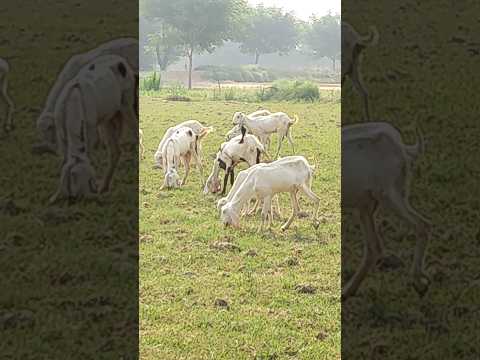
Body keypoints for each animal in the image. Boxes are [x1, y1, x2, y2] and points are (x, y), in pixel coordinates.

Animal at [49, 55, 137, 204]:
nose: (74, 200)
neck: (74, 102)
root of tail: (119, 59)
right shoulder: (61, 134)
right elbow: (65, 161)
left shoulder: (90, 132)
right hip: (107, 119)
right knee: (115, 151)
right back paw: (104, 186)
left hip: (126, 104)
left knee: (135, 130)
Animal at [344, 121, 430, 300]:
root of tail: (401, 146)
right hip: (367, 206)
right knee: (374, 248)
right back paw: (347, 291)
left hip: (389, 196)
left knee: (422, 225)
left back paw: (418, 283)